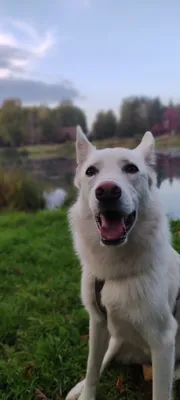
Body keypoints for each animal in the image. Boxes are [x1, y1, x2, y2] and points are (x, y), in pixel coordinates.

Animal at [66, 126, 180, 400]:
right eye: (91, 172)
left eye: (131, 168)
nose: (107, 190)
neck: (115, 272)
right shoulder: (97, 323)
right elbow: (92, 369)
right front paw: (85, 393)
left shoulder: (163, 340)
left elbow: (161, 392)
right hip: (113, 338)